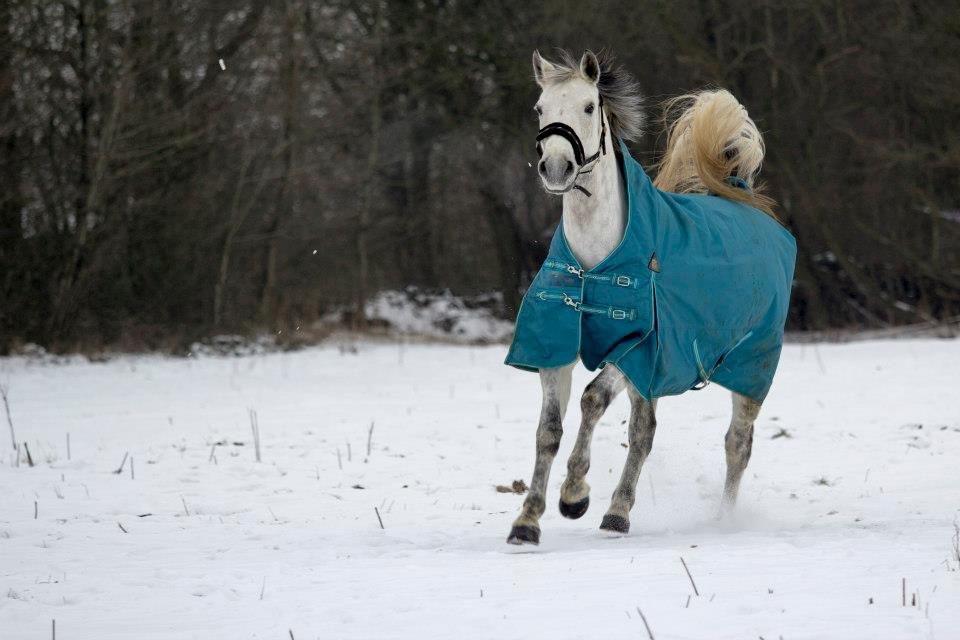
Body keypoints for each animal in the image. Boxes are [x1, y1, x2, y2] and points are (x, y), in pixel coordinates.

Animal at [502, 50, 796, 544]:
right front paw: (528, 520)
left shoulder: (638, 347)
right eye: (540, 108)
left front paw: (578, 496)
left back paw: (708, 520)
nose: (556, 169)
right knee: (647, 430)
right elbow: (550, 430)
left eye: (588, 107)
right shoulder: (556, 349)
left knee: (736, 444)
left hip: (750, 366)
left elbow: (593, 402)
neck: (597, 262)